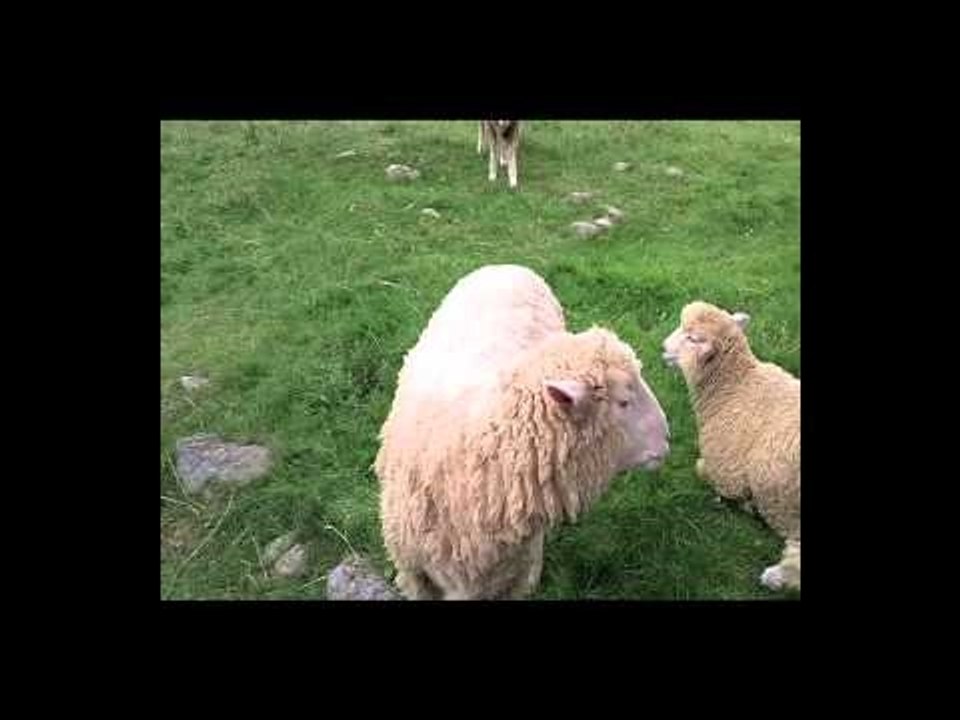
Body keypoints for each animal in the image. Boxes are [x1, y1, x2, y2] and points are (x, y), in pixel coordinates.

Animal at [662, 301, 800, 592]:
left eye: (692, 338)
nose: (663, 347)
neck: (736, 386)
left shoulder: (726, 470)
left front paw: (745, 502)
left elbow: (701, 469)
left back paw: (775, 576)